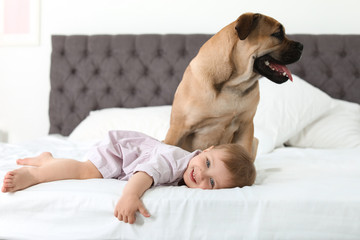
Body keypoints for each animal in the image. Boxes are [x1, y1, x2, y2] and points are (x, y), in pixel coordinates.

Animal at [165, 12, 302, 160]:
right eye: (277, 34)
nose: (301, 46)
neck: (233, 84)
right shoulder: (178, 129)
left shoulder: (246, 126)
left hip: (254, 140)